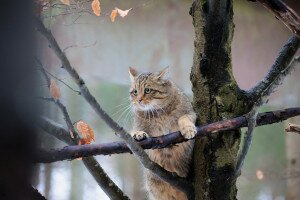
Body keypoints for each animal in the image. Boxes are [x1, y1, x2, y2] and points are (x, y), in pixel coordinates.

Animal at [128, 66, 197, 199]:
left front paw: (188, 129)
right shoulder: (138, 125)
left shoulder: (190, 112)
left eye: (147, 90)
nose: (138, 100)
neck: (157, 112)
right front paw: (137, 133)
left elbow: (183, 118)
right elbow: (134, 130)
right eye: (135, 92)